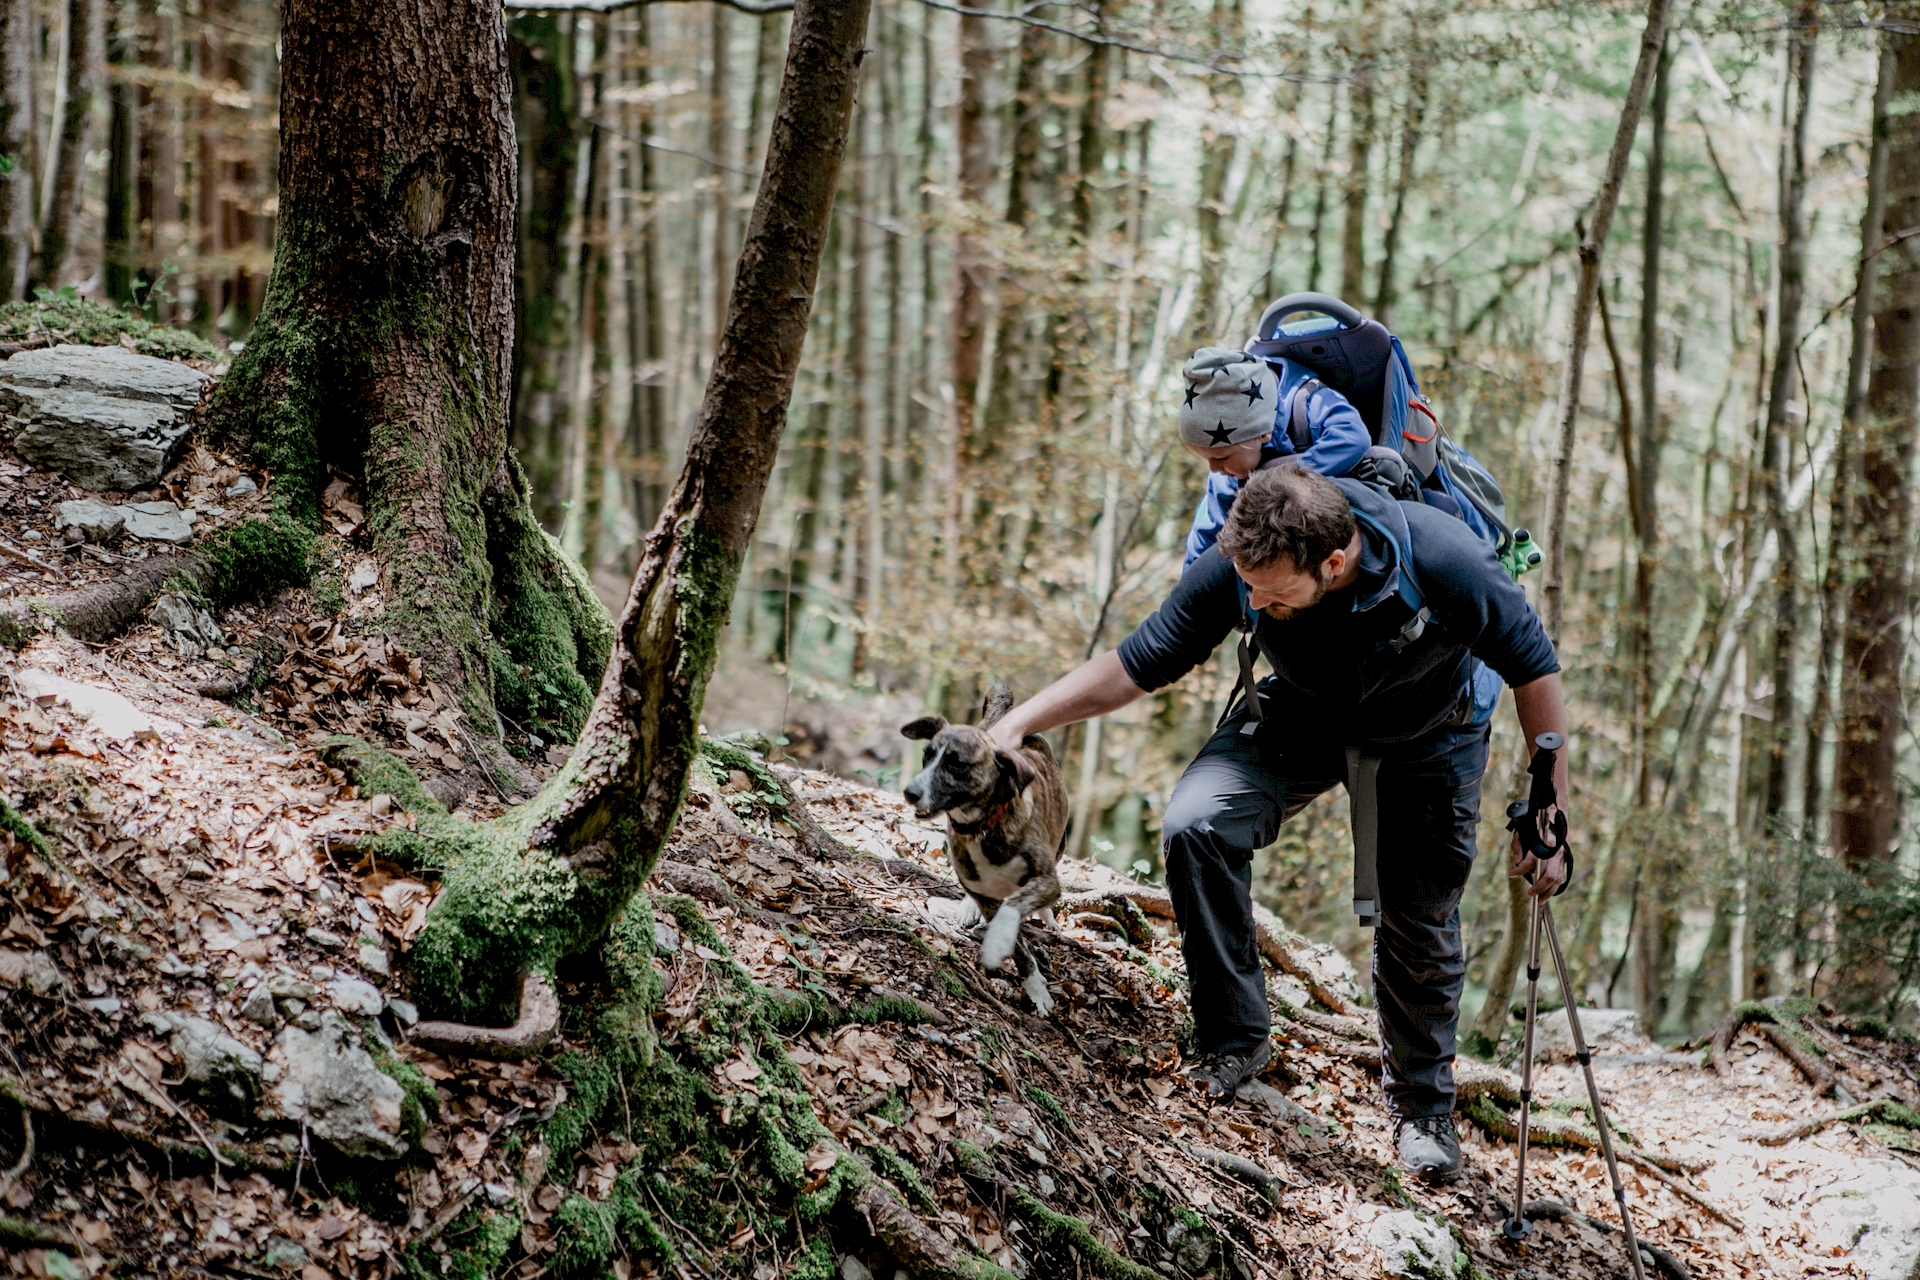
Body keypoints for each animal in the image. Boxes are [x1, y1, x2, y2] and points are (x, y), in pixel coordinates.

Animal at [898, 687, 1067, 1013]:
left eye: (956, 764)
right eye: (927, 756)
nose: (910, 793)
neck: (981, 826)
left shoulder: (1045, 880)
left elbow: (1013, 909)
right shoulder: (983, 894)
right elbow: (1019, 948)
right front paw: (1034, 985)